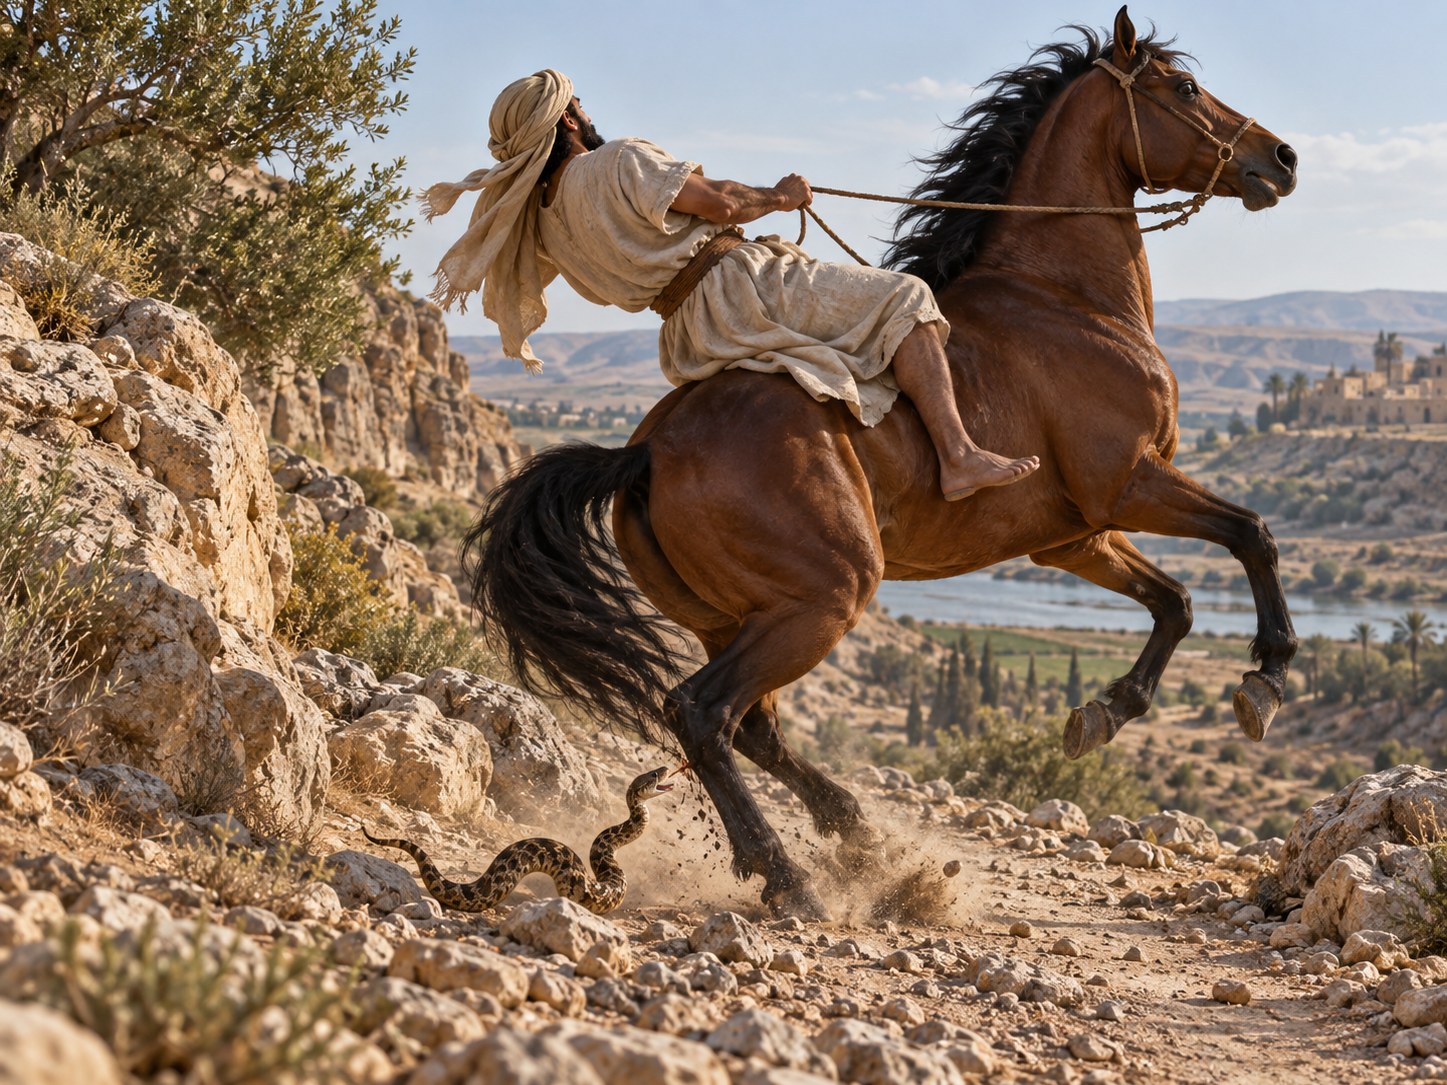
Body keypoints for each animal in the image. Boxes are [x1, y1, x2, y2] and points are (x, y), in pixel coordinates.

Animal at [466, 7, 1299, 919]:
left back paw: (861, 838)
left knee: (753, 727)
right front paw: (1265, 678)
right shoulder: (1128, 482)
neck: (1065, 301)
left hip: (741, 613)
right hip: (827, 594)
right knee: (702, 713)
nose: (1282, 159)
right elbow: (1251, 534)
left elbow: (1175, 601)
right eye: (1182, 88)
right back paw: (791, 876)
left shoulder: (1073, 537)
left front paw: (1104, 711)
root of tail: (642, 450)